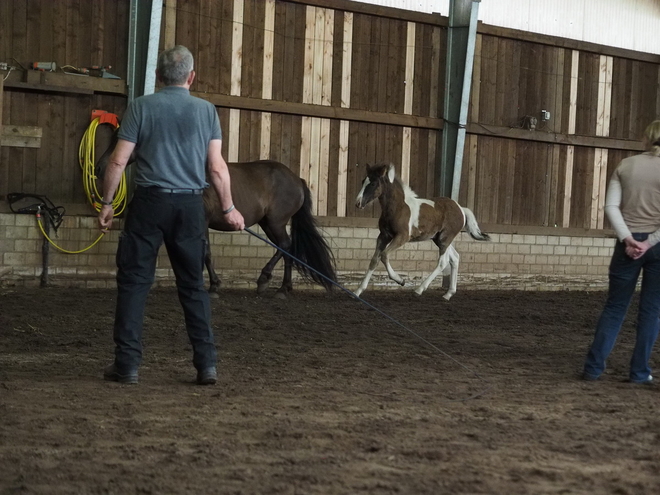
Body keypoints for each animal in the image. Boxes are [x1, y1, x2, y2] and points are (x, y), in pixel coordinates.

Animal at [356, 165, 490, 300]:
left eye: (373, 183)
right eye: (362, 181)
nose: (358, 203)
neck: (398, 207)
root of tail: (461, 209)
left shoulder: (402, 237)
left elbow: (384, 255)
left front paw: (400, 280)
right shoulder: (383, 236)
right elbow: (375, 260)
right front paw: (358, 291)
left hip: (445, 239)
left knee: (443, 262)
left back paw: (419, 289)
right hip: (439, 239)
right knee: (455, 258)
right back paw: (448, 294)